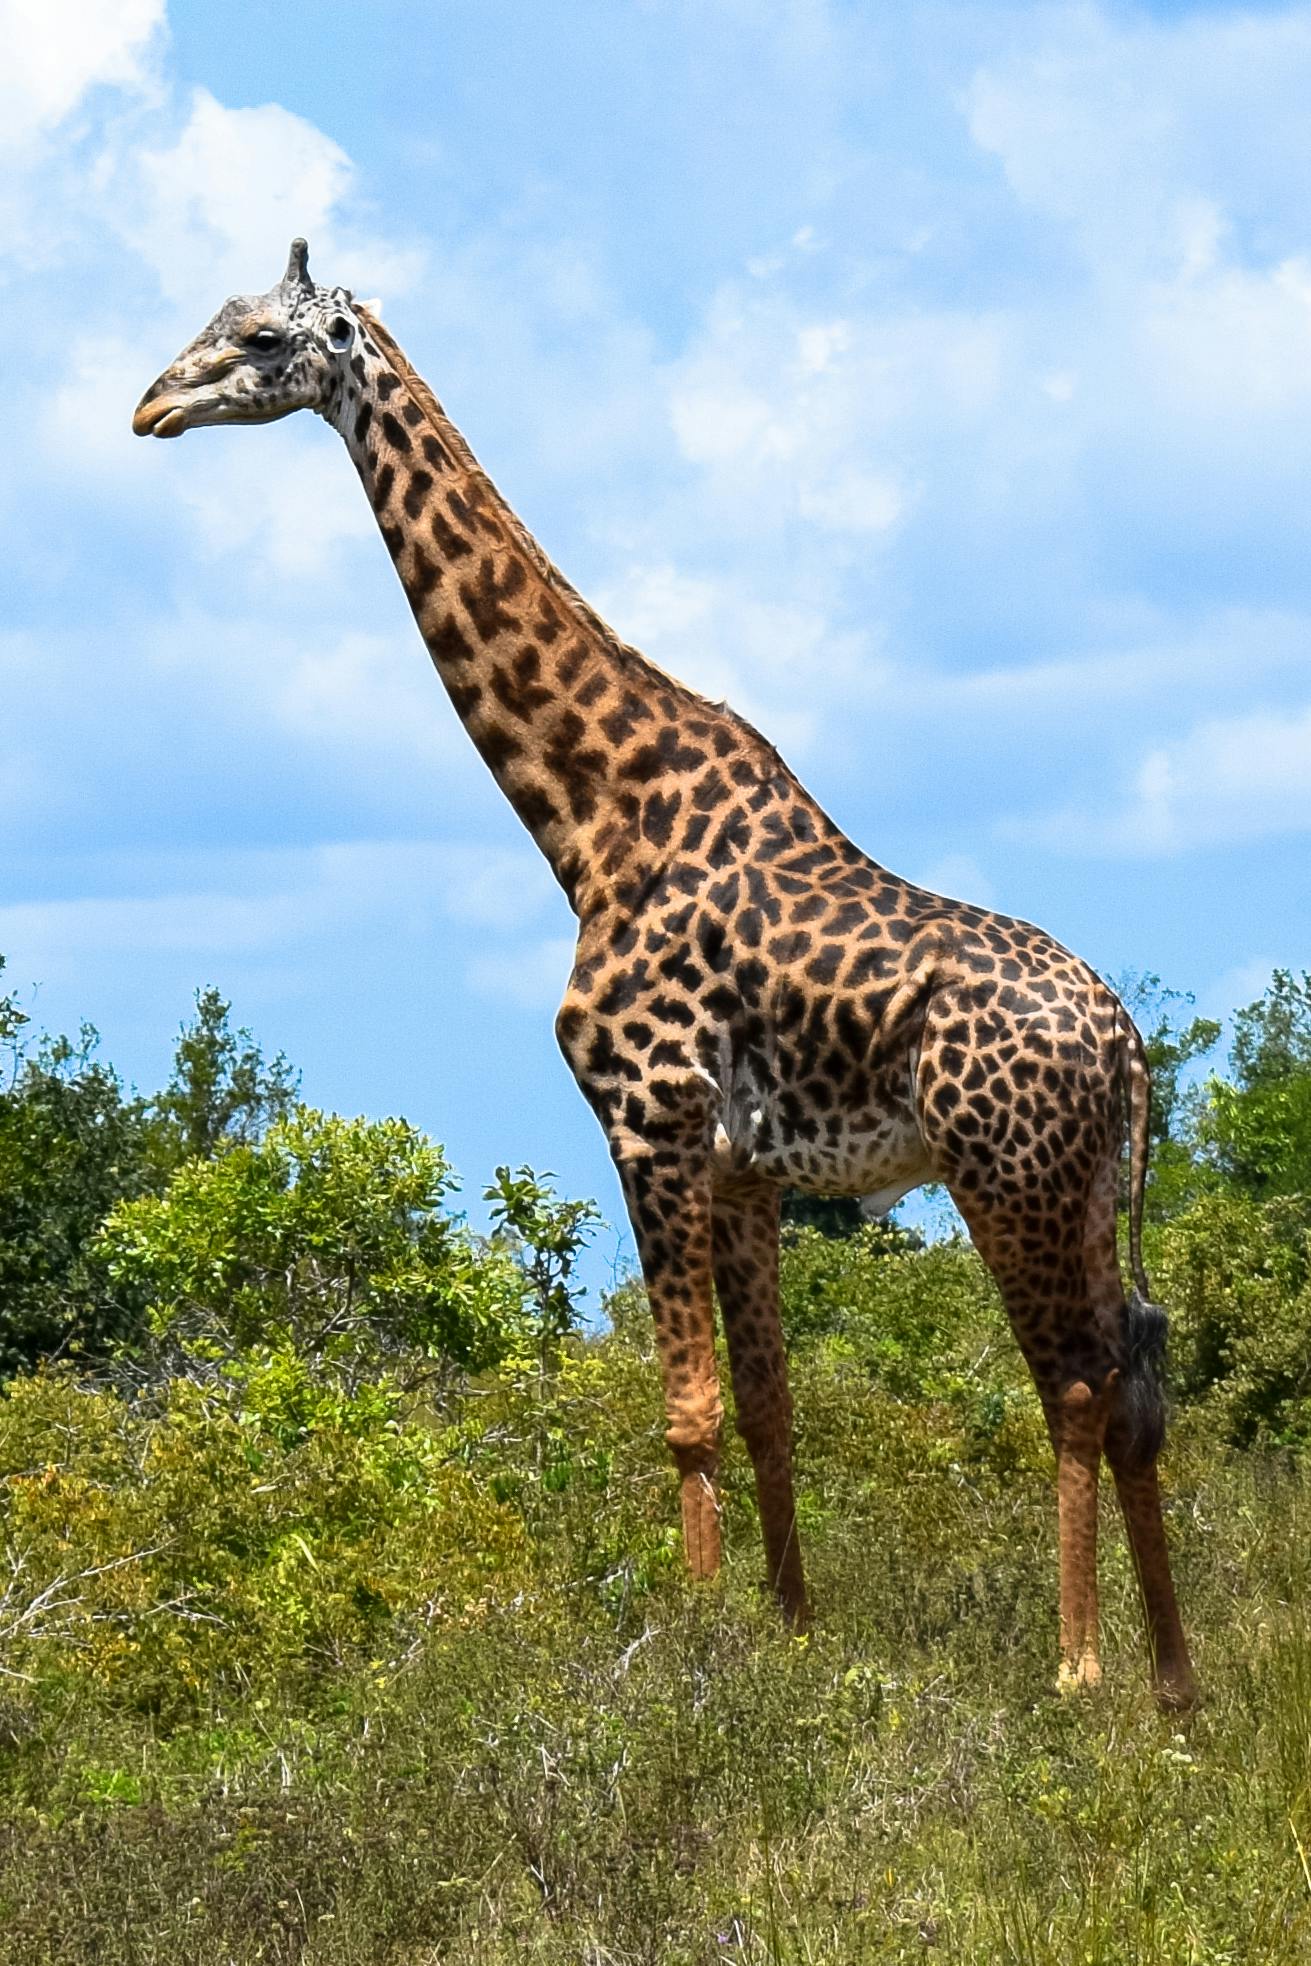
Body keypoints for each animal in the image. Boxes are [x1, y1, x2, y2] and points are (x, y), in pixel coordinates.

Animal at [133, 240, 1195, 1707]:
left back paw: (1079, 1671)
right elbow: (767, 1407)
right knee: (1141, 1368)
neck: (588, 819)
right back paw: (1174, 1686)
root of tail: (1128, 1048)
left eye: (256, 340)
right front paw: (791, 1643)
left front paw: (690, 1658)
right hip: (1086, 1184)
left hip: (1005, 1171)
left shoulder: (648, 1116)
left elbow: (683, 1410)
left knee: (1078, 1383)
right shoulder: (745, 1165)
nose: (150, 406)